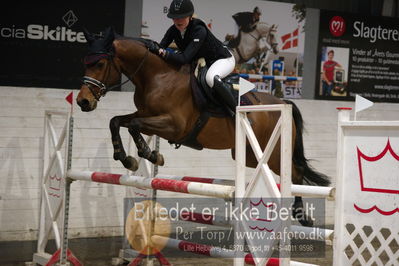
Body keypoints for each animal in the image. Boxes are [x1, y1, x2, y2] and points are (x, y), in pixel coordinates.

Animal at [76, 27, 330, 227]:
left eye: (99, 63)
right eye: (85, 62)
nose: (82, 102)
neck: (157, 76)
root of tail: (282, 102)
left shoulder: (174, 125)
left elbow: (133, 125)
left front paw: (149, 154)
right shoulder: (148, 118)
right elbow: (117, 121)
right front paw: (128, 158)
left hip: (274, 150)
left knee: (295, 172)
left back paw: (301, 215)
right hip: (248, 154)